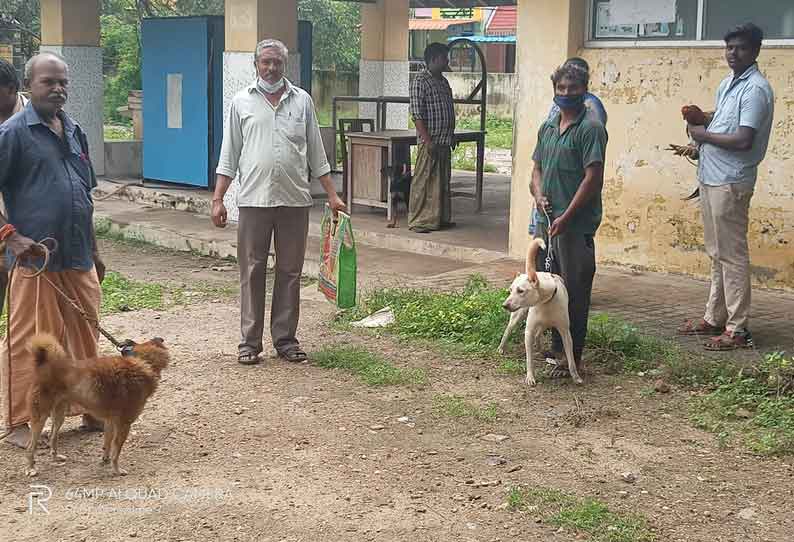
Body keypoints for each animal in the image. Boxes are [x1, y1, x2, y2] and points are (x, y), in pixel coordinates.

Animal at [26, 334, 168, 478]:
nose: (159, 338)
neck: (141, 362)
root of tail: (43, 364)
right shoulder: (124, 424)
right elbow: (116, 451)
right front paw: (116, 469)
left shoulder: (111, 421)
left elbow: (108, 443)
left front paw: (105, 459)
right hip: (40, 416)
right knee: (30, 446)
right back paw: (31, 468)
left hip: (59, 414)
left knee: (53, 436)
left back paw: (55, 457)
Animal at [502, 238, 580, 386]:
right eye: (510, 290)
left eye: (520, 291)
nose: (504, 305)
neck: (545, 301)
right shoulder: (529, 331)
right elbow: (529, 359)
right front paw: (530, 377)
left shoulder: (565, 332)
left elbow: (571, 358)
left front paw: (575, 376)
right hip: (517, 316)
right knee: (508, 330)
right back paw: (501, 348)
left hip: (544, 324)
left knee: (538, 335)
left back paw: (541, 349)